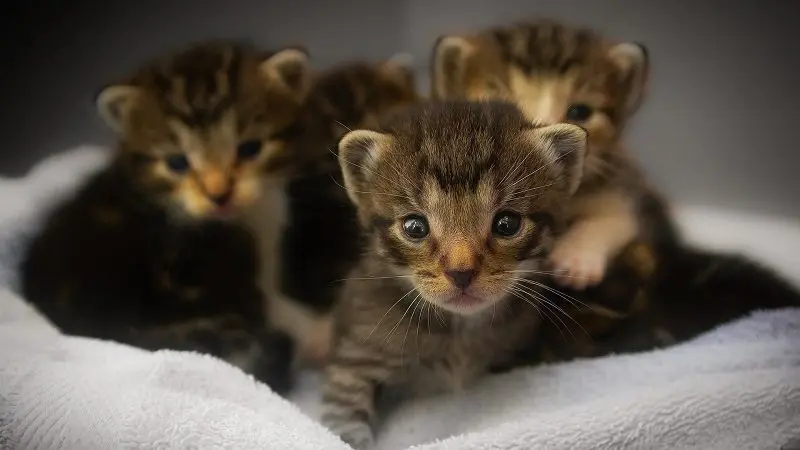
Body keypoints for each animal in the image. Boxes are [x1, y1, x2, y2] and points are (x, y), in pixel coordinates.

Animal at [322, 100, 592, 448]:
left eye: (507, 224)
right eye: (415, 226)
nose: (460, 273)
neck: (460, 331)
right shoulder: (357, 355)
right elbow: (343, 415)